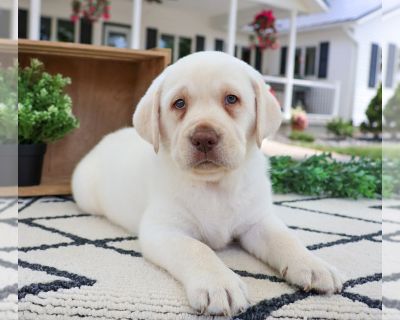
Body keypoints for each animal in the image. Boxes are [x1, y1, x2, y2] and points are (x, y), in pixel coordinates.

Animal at [72, 51, 340, 316]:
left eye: (231, 99)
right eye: (179, 103)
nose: (204, 138)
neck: (214, 184)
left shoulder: (257, 221)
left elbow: (285, 238)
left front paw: (313, 265)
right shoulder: (163, 230)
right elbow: (197, 249)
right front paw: (219, 284)